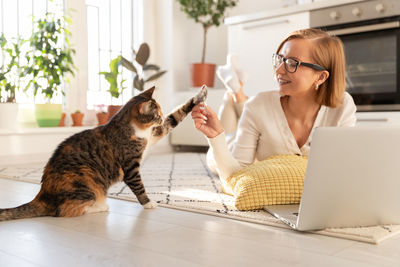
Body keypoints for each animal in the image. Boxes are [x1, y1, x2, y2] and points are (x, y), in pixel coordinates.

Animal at [0, 86, 209, 222]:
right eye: (156, 114)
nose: (160, 117)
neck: (135, 130)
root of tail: (42, 195)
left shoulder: (155, 133)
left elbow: (176, 116)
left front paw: (200, 95)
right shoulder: (130, 166)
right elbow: (139, 187)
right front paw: (148, 203)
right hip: (85, 179)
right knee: (63, 211)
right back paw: (100, 207)